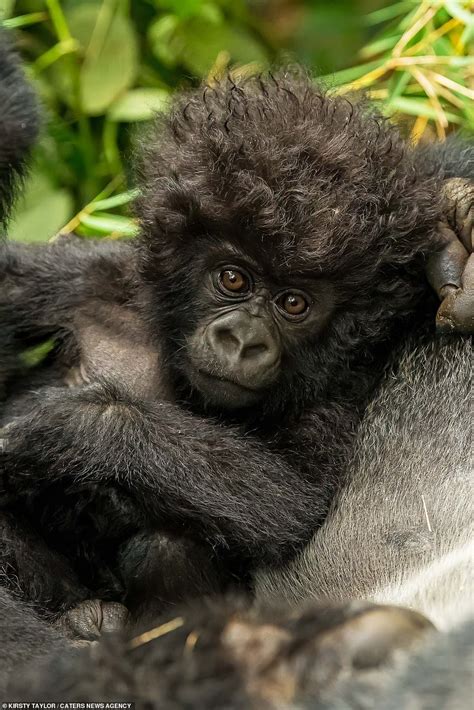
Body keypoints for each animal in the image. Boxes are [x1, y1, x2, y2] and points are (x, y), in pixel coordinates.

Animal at [0, 71, 472, 628]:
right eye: (232, 278)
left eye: (294, 303)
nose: (243, 340)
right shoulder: (93, 277)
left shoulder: (334, 391)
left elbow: (292, 503)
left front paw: (71, 426)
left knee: (168, 544)